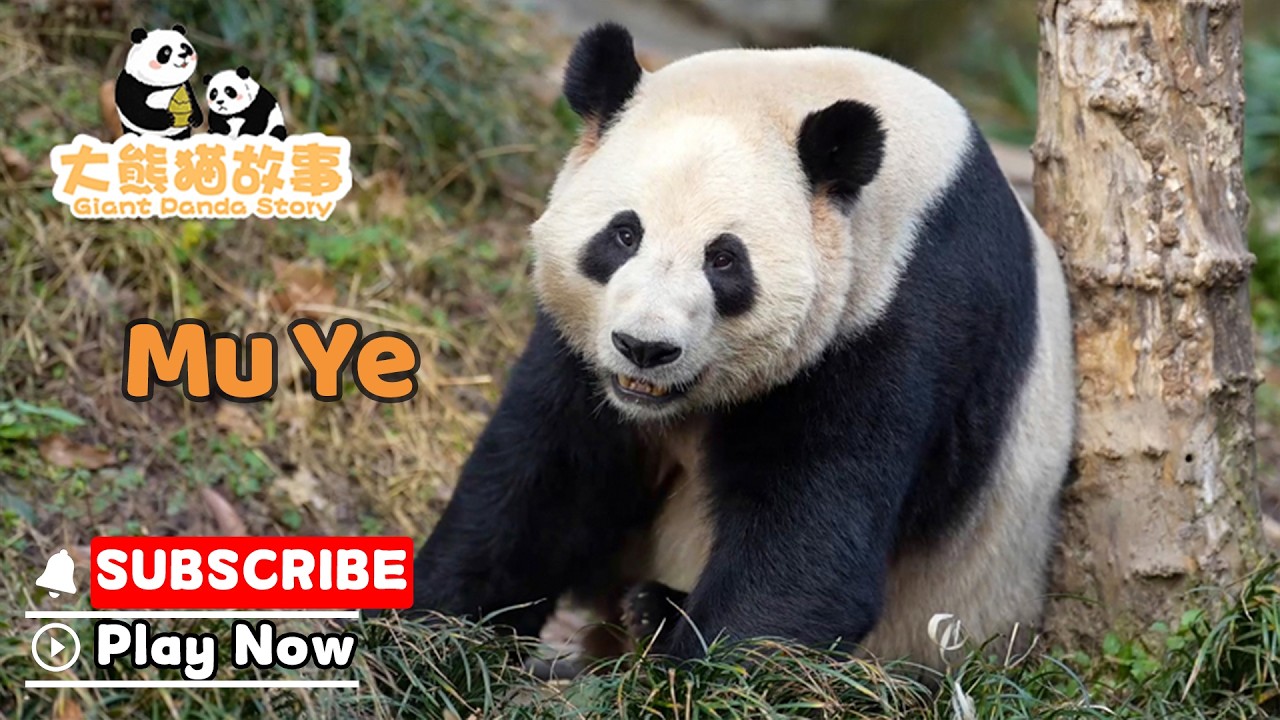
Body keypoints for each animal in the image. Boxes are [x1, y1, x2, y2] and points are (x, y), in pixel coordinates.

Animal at [411, 23, 1075, 673]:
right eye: (623, 234)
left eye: (724, 259)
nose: (644, 348)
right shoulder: (585, 349)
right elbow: (544, 487)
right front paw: (432, 639)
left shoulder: (903, 313)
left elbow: (809, 551)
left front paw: (690, 679)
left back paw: (651, 613)